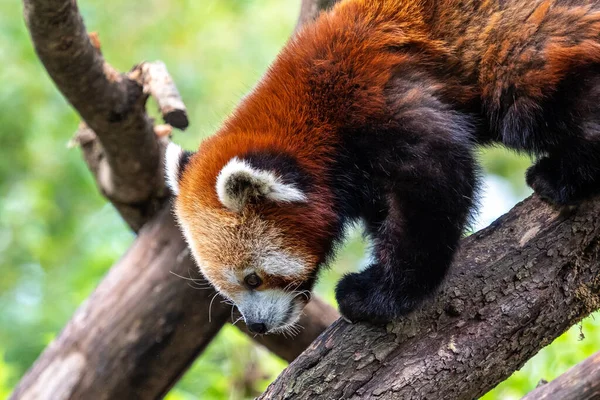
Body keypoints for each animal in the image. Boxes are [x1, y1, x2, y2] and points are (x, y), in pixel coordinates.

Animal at [166, 0, 600, 332]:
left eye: (253, 278)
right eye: (227, 288)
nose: (256, 325)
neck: (316, 114)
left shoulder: (379, 102)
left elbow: (433, 183)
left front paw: (378, 296)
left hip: (531, 45)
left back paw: (561, 176)